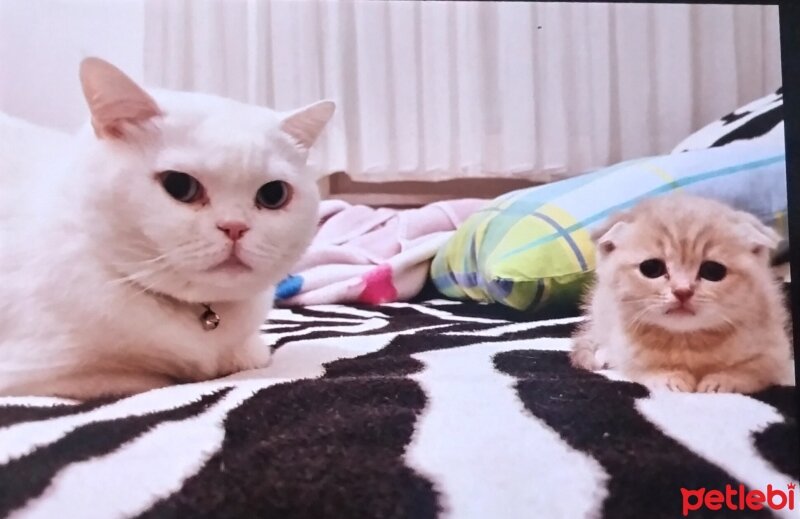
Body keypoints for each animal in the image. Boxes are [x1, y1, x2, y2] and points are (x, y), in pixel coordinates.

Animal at [0, 58, 334, 398]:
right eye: (179, 185)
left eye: (273, 195)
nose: (235, 227)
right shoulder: (42, 375)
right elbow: (150, 376)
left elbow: (252, 354)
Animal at [572, 194, 792, 394]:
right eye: (651, 268)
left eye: (713, 271)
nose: (682, 291)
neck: (687, 342)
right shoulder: (626, 348)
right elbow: (639, 368)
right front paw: (669, 376)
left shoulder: (776, 350)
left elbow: (755, 369)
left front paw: (721, 380)